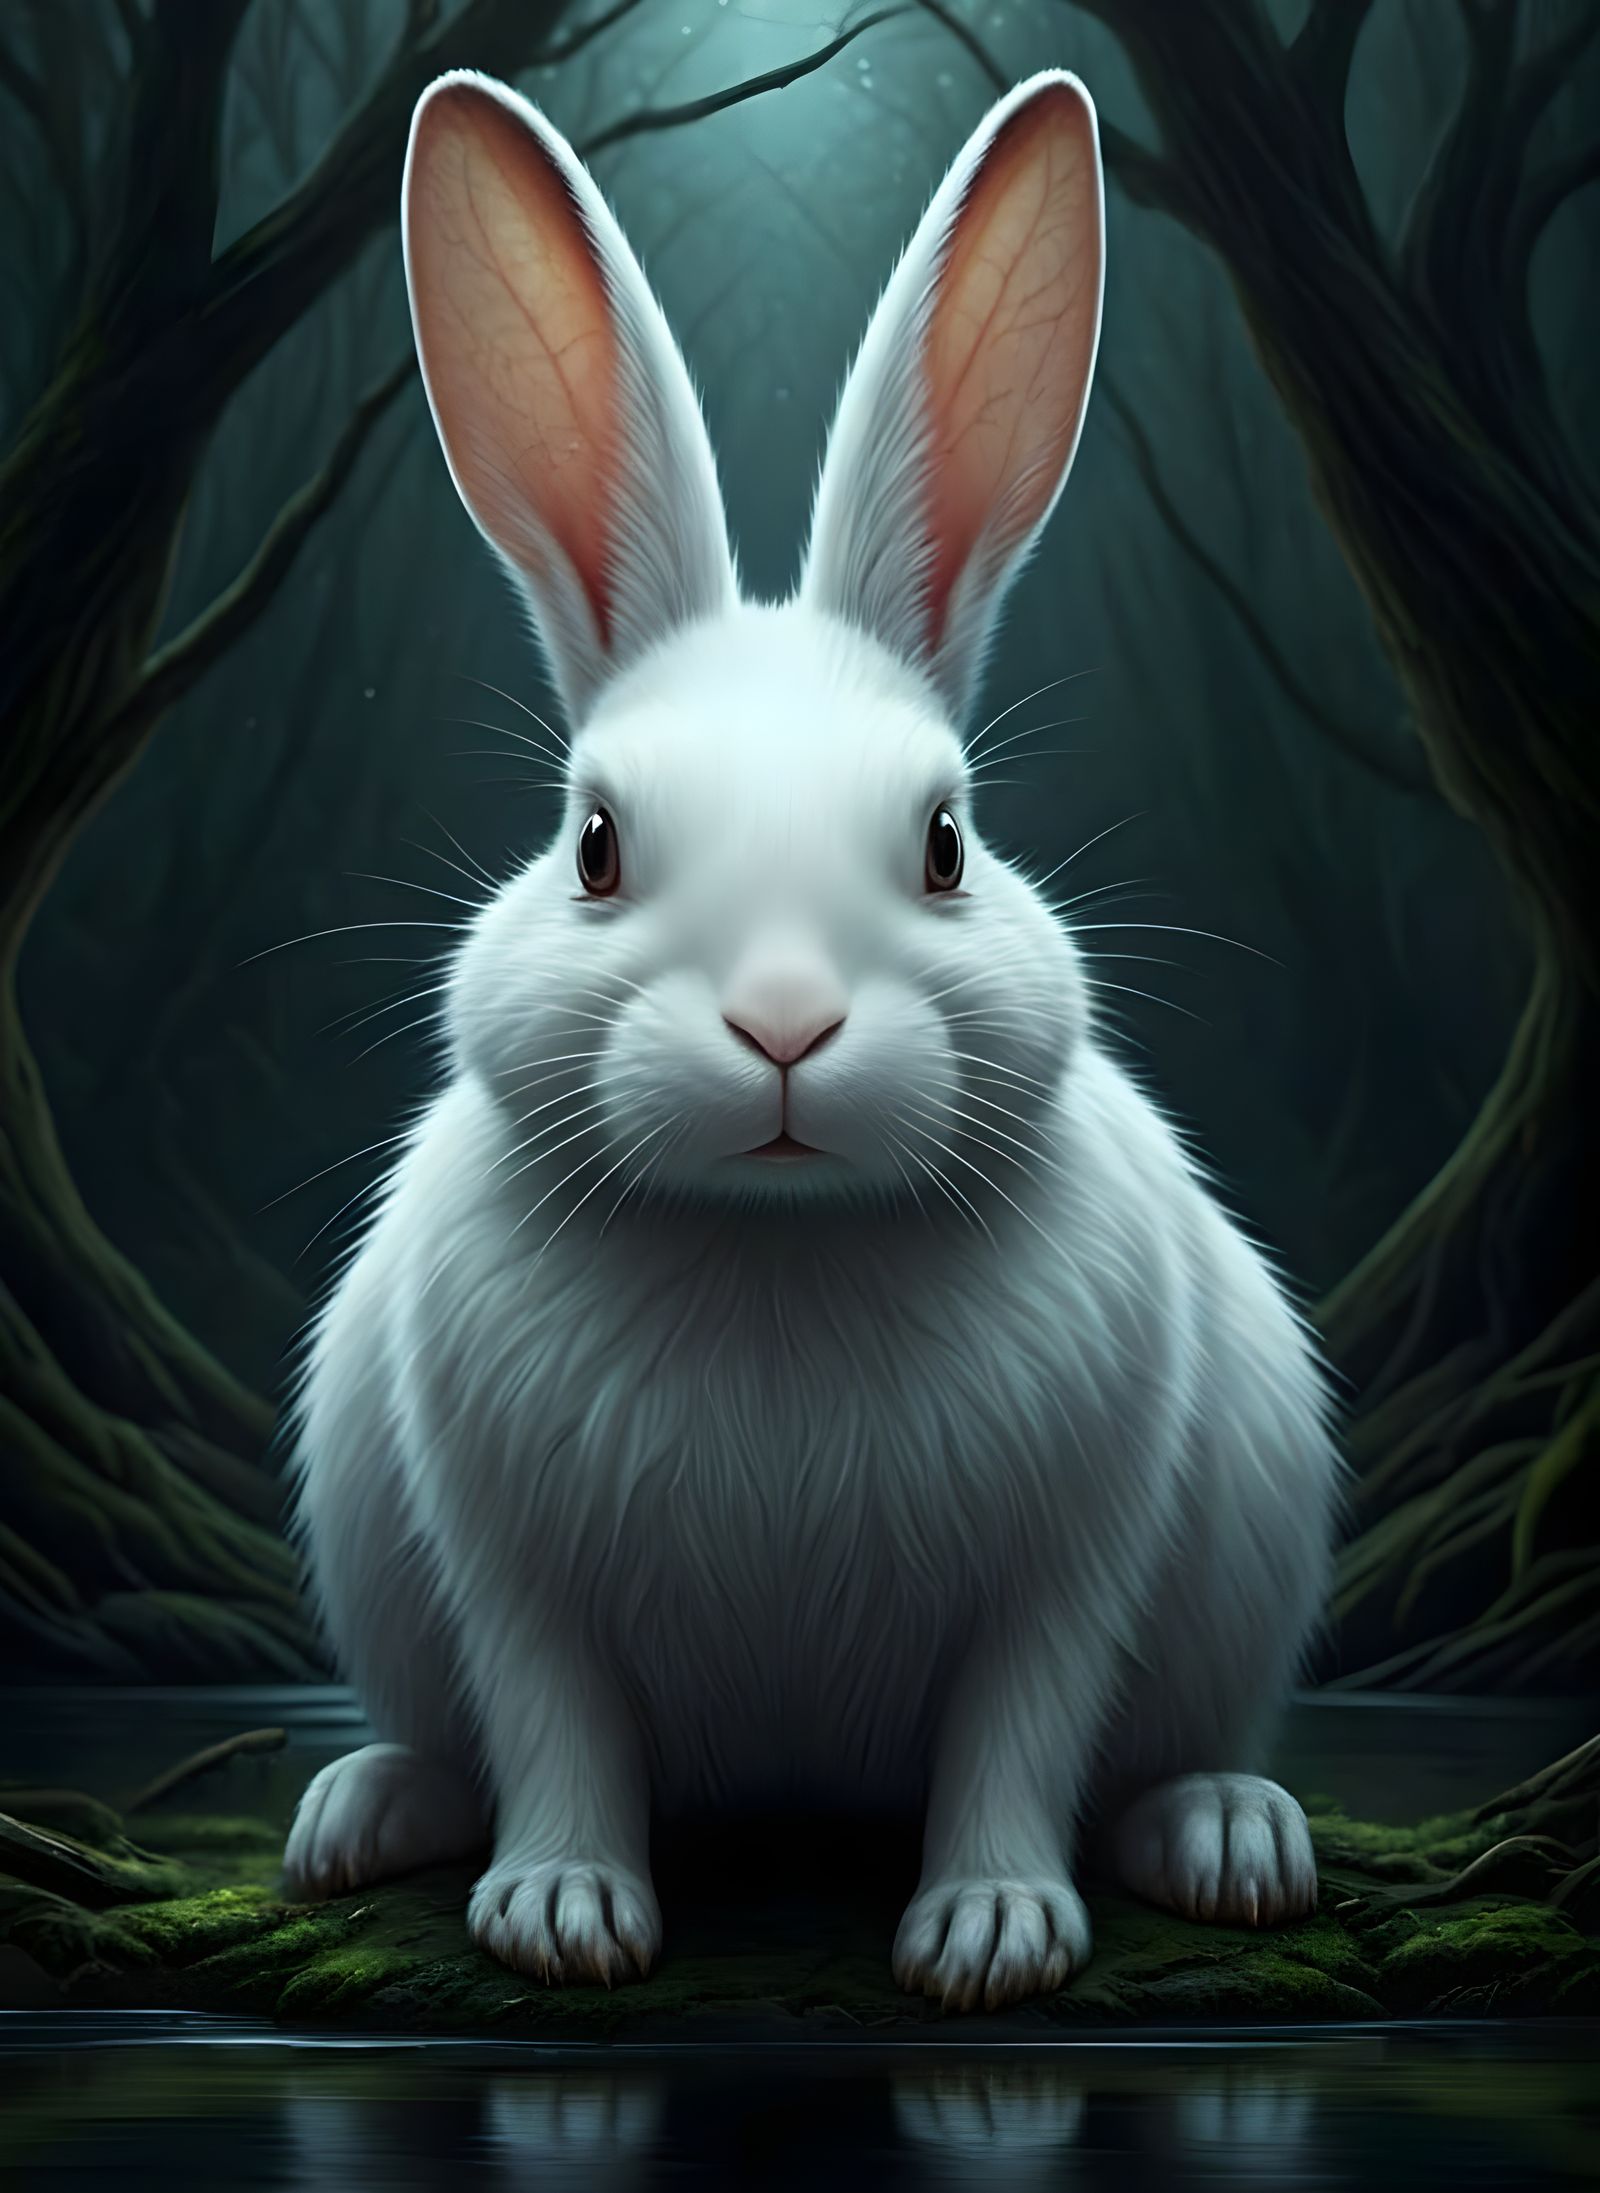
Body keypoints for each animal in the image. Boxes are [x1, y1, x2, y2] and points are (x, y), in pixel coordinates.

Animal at [283, 65, 1339, 2013]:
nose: (784, 1025)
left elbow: (1021, 1726)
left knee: (1159, 1755)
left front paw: (991, 1935)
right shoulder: (505, 1559)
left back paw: (1230, 1836)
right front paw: (564, 1914)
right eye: (594, 845)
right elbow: (555, 1723)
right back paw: (360, 1811)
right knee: (456, 1743)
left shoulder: (1074, 1549)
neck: (776, 1246)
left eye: (945, 842)